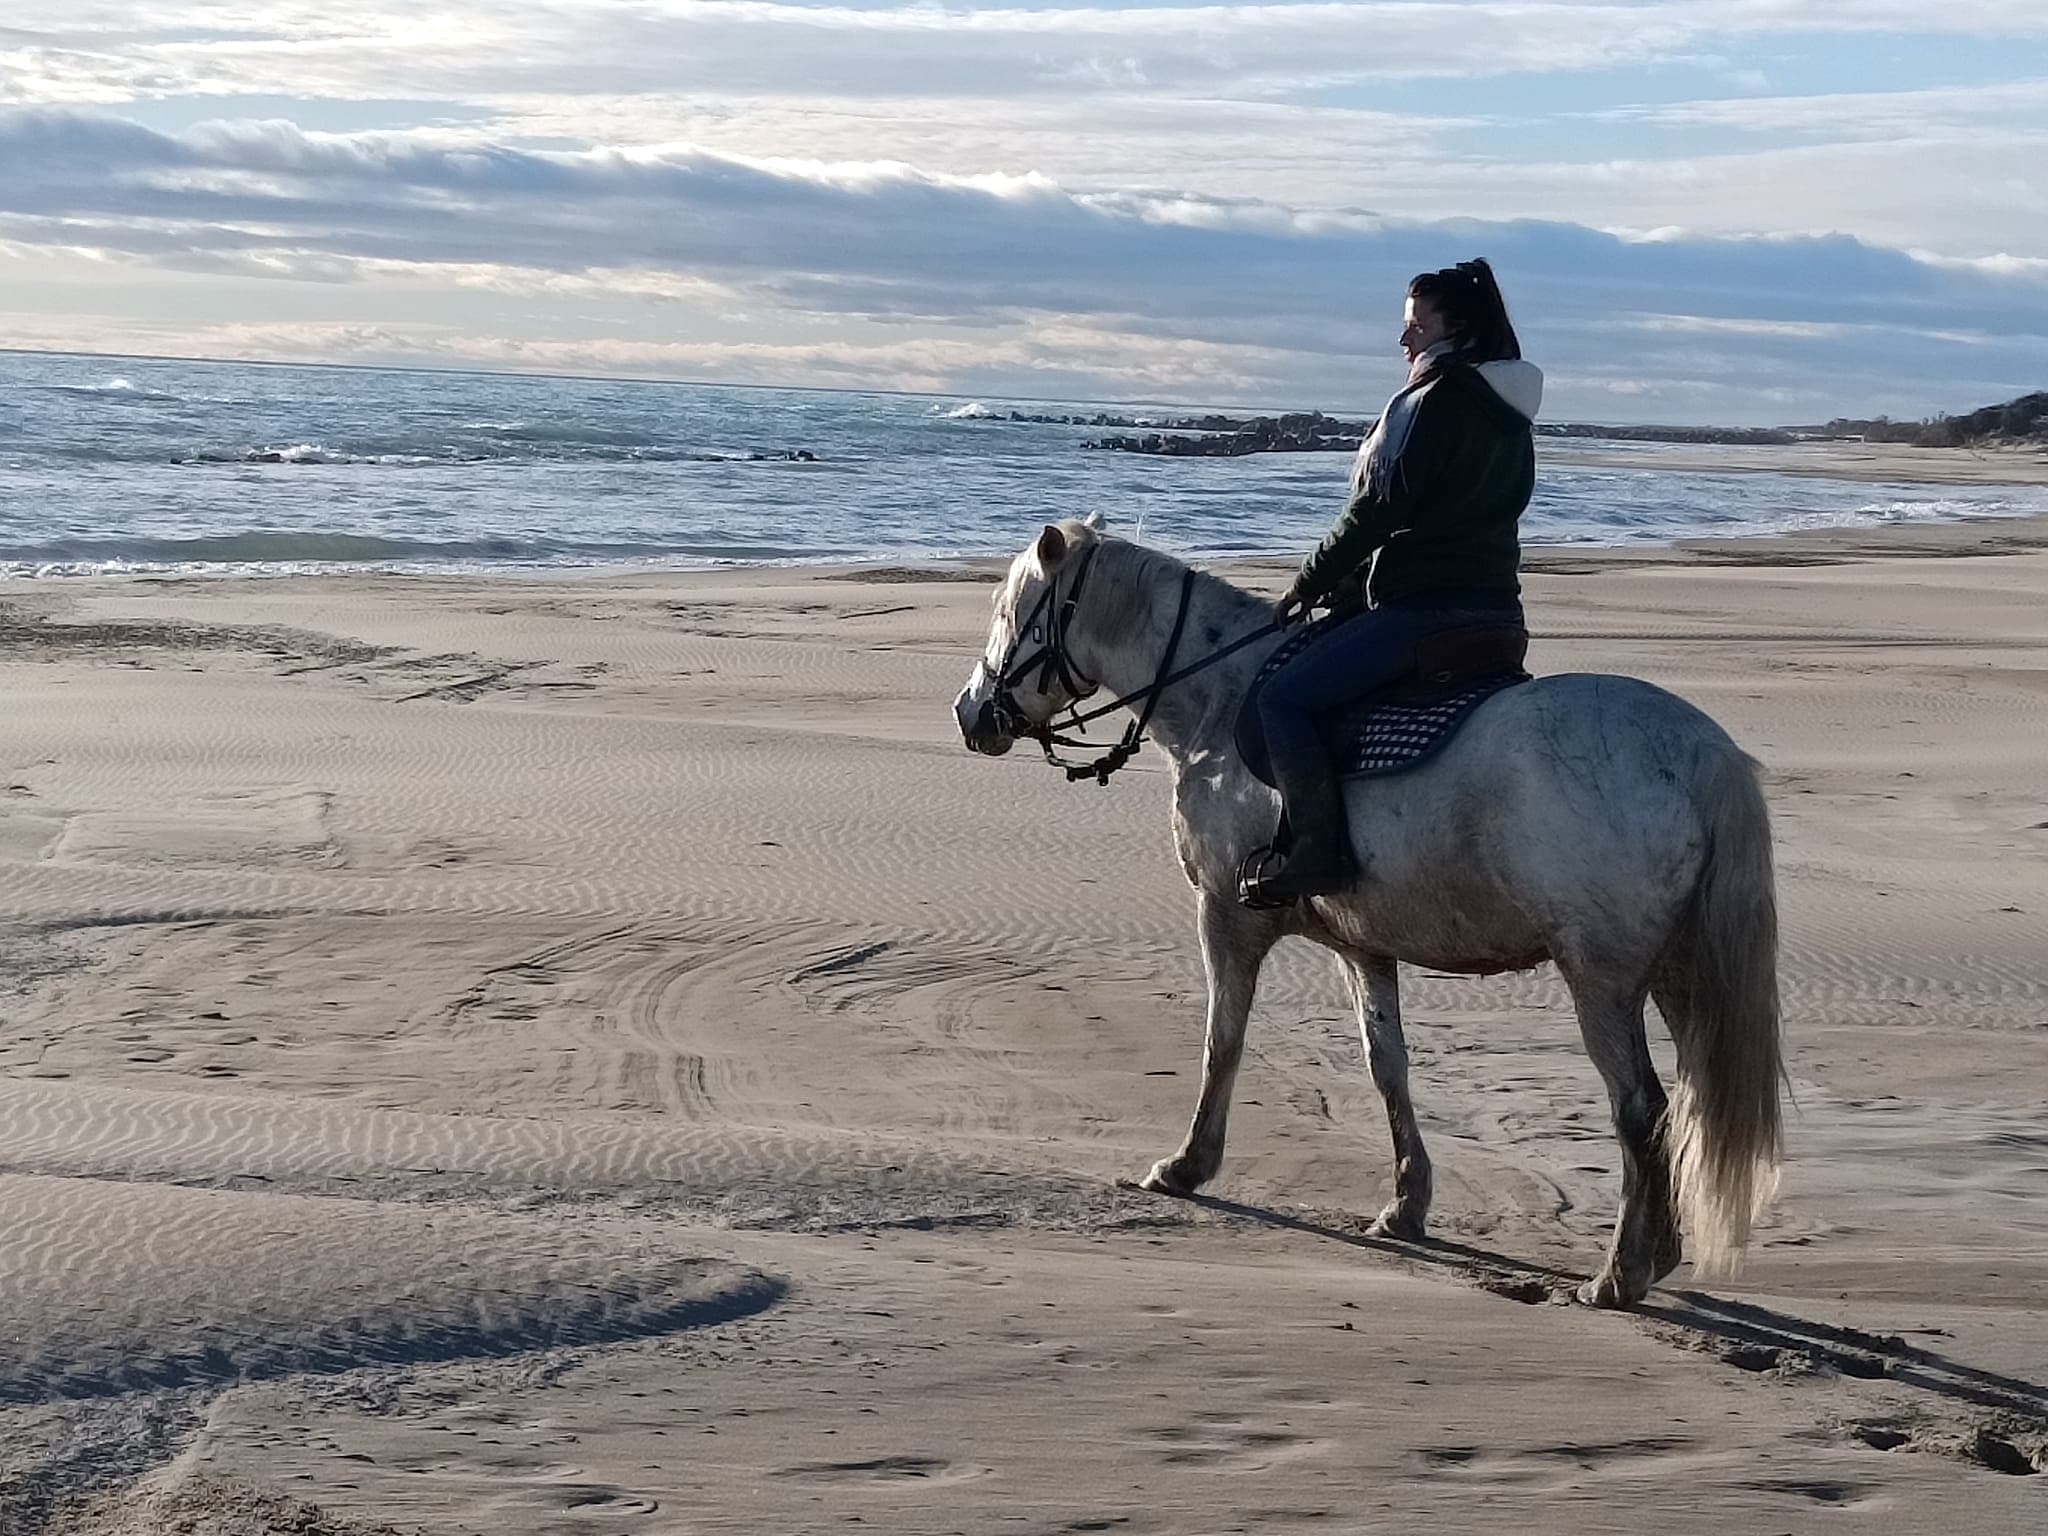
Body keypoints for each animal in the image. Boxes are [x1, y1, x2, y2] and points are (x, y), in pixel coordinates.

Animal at [952, 518, 1783, 1307]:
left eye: (1010, 612)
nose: (969, 713)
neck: (1222, 700)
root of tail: (1695, 751)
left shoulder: (1226, 917)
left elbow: (1222, 1042)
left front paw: (1189, 1165)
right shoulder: (1363, 948)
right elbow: (1387, 1068)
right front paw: (1406, 1202)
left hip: (1601, 979)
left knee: (1639, 1107)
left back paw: (1622, 1272)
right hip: (1676, 972)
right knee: (1678, 1104)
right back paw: (1657, 1251)